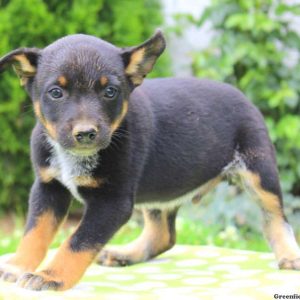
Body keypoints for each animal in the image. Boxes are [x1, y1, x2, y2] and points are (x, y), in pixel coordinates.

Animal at [0, 30, 300, 290]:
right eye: (56, 92)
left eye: (110, 92)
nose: (85, 134)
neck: (74, 156)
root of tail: (241, 95)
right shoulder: (48, 187)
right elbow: (34, 233)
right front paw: (17, 266)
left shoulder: (112, 203)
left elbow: (78, 241)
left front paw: (51, 276)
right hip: (160, 190)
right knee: (163, 235)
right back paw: (126, 254)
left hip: (259, 172)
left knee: (275, 217)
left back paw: (289, 255)